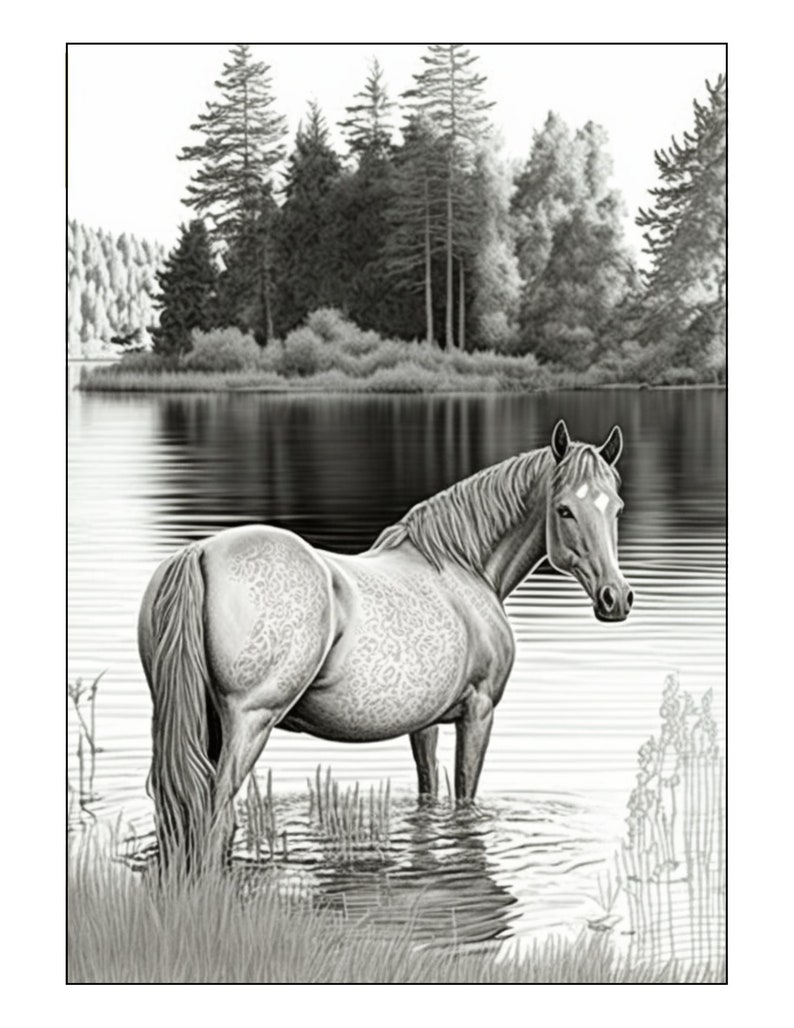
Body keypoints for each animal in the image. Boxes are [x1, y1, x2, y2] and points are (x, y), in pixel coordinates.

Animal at [138, 419, 633, 868]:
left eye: (616, 508)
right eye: (565, 509)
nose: (616, 597)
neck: (463, 567)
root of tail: (200, 553)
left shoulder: (425, 723)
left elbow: (429, 798)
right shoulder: (478, 712)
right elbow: (465, 800)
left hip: (198, 722)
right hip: (248, 721)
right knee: (216, 815)